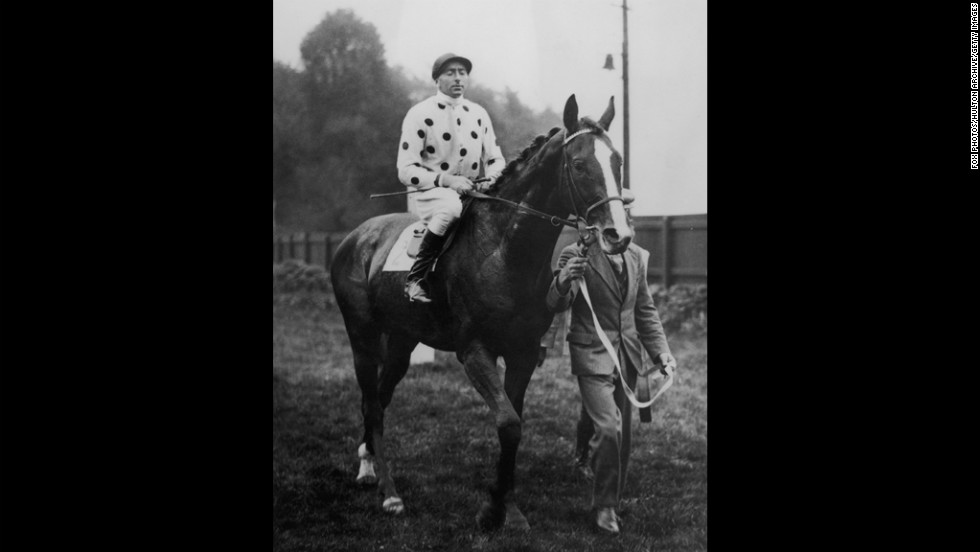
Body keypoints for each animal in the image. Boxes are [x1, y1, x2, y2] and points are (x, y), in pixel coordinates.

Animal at [332, 95, 636, 532]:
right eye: (579, 164)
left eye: (618, 161)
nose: (619, 235)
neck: (502, 250)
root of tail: (356, 237)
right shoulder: (474, 350)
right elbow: (508, 423)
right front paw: (492, 509)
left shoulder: (523, 352)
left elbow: (516, 422)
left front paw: (507, 506)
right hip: (363, 337)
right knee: (372, 403)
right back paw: (389, 492)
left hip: (403, 341)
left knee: (381, 397)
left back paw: (368, 465)